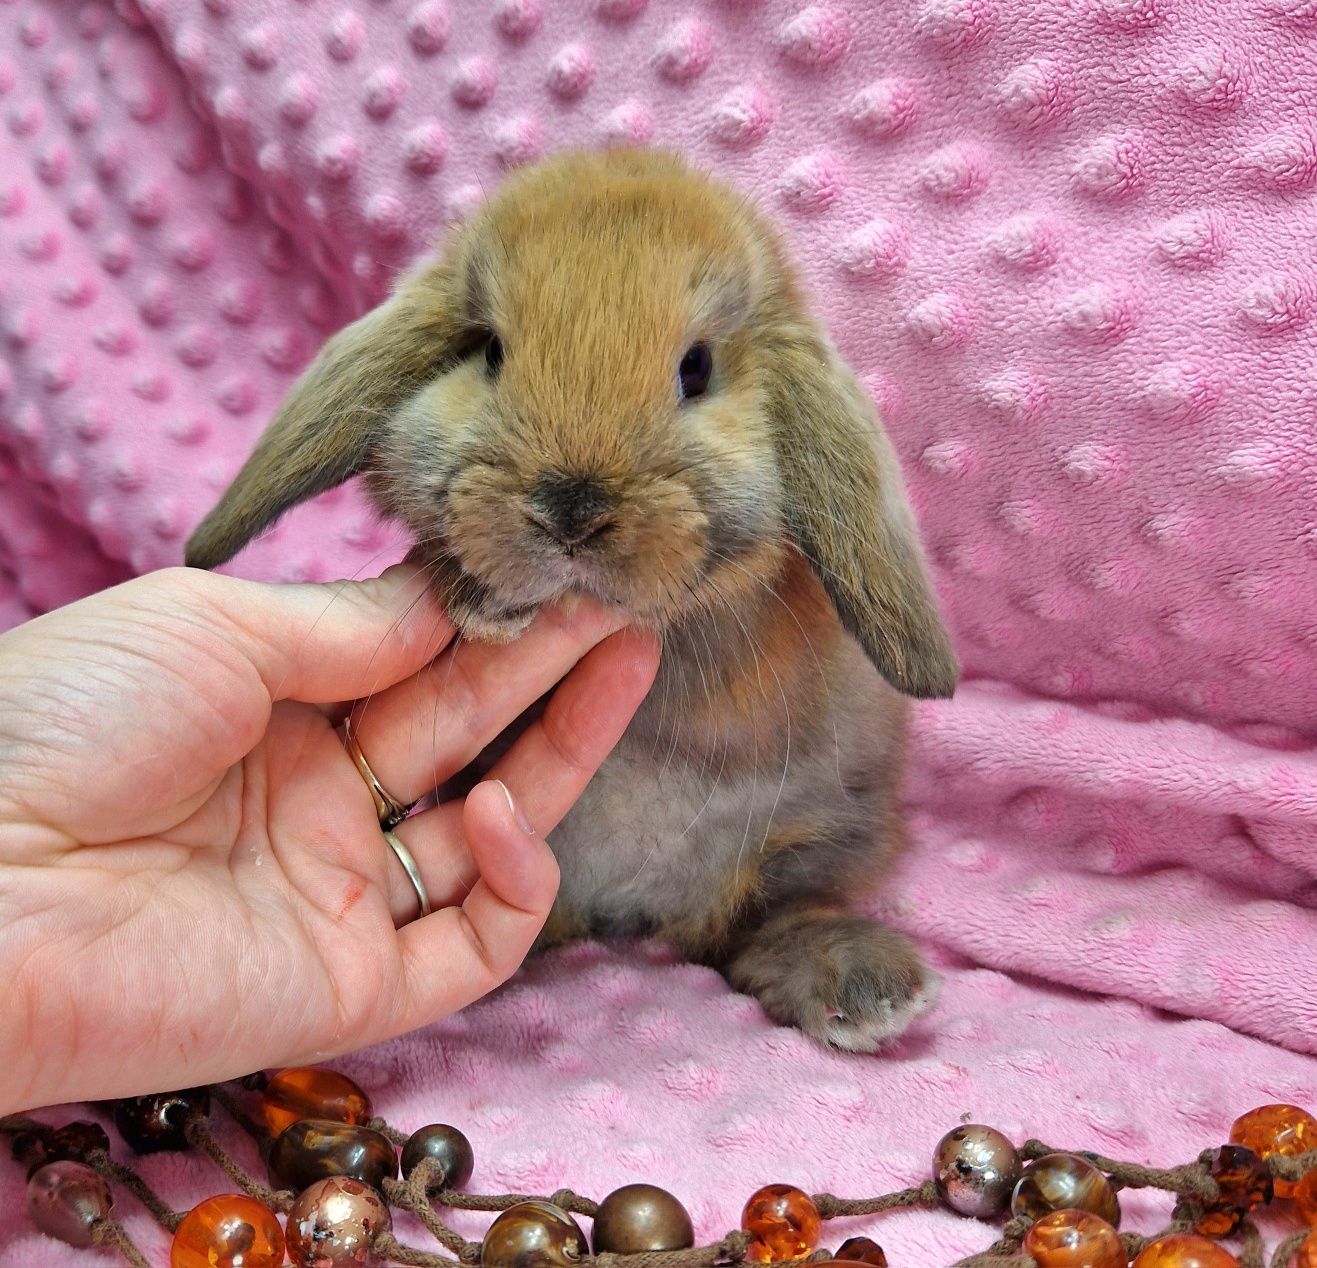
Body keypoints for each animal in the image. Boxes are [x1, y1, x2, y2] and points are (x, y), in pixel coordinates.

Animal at [185, 146, 958, 1053]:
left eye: (696, 367)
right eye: (489, 350)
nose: (571, 508)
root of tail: (634, 906)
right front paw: (484, 596)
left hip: (821, 833)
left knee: (766, 920)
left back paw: (859, 984)